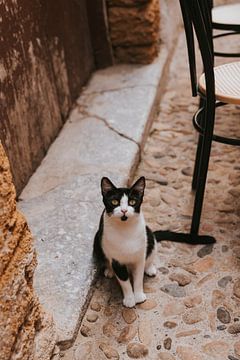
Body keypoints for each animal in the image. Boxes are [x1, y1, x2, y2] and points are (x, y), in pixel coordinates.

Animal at [93, 176, 215, 308]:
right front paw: (130, 299)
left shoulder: (139, 256)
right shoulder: (117, 261)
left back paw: (150, 268)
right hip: (97, 242)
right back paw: (109, 270)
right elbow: (125, 281)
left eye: (132, 202)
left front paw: (138, 296)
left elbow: (138, 278)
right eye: (114, 202)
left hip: (149, 235)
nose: (124, 210)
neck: (125, 230)